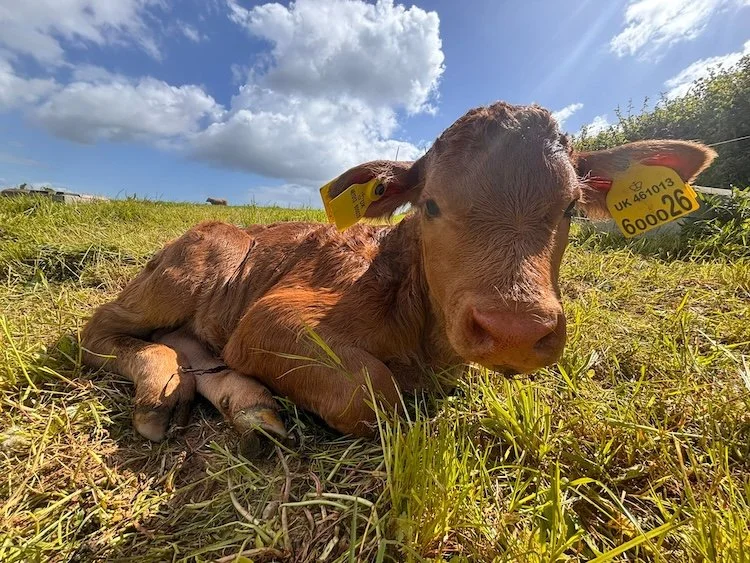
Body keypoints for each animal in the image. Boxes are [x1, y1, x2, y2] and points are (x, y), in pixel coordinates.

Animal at [81, 102, 716, 451]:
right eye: (430, 204)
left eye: (570, 209)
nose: (513, 330)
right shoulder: (269, 318)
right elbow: (373, 393)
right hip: (194, 263)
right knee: (99, 331)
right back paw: (160, 389)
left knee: (190, 346)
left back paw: (247, 406)